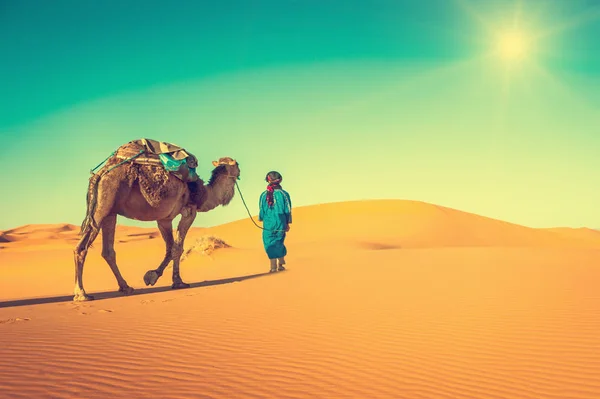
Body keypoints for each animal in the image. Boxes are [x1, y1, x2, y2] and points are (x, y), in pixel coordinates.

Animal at [71, 140, 238, 300]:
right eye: (236, 165)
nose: (239, 172)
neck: (205, 194)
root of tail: (100, 173)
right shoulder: (190, 211)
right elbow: (177, 248)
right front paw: (177, 282)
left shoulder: (164, 219)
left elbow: (170, 248)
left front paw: (152, 276)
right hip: (103, 204)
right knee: (82, 247)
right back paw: (82, 294)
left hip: (110, 212)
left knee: (108, 251)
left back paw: (126, 287)